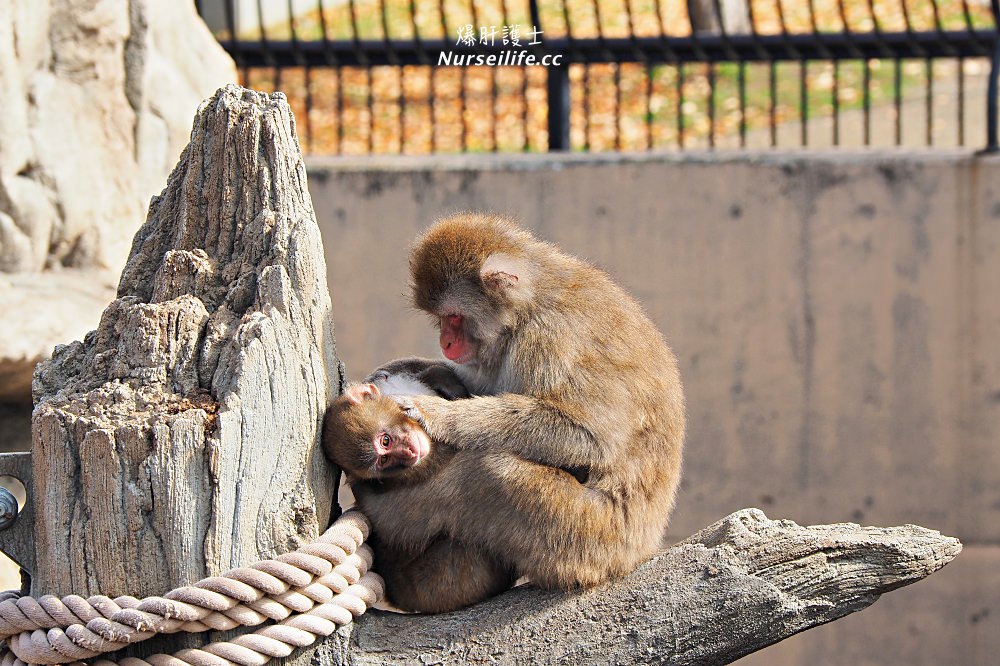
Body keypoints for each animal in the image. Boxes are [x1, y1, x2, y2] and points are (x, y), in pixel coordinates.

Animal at [372, 210, 684, 588]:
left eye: (454, 318)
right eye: (440, 320)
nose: (446, 343)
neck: (532, 302)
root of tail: (641, 551)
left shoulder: (550, 337)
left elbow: (591, 439)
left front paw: (437, 414)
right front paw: (427, 371)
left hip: (589, 541)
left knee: (490, 473)